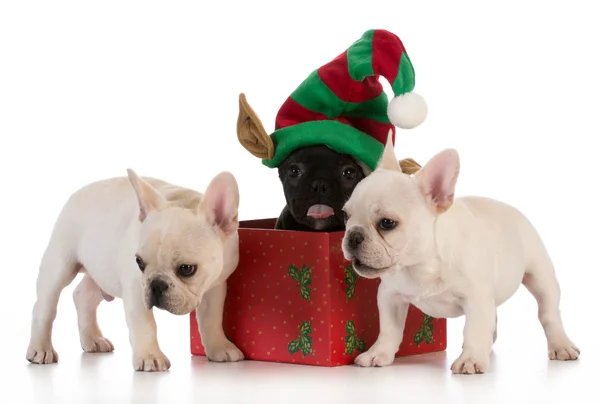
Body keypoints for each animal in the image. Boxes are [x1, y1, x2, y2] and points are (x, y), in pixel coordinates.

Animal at [26, 169, 244, 370]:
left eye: (187, 269)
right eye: (139, 263)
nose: (156, 284)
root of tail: (76, 194)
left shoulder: (215, 286)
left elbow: (211, 318)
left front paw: (219, 348)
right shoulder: (135, 288)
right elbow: (145, 325)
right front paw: (150, 357)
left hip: (103, 270)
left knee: (82, 296)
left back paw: (93, 339)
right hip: (60, 263)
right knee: (45, 307)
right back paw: (40, 349)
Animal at [342, 134, 580, 374]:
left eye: (387, 223)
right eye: (345, 216)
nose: (353, 236)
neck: (420, 265)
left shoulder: (476, 298)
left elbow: (474, 328)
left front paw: (471, 359)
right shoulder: (389, 296)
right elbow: (389, 329)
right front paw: (378, 353)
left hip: (541, 277)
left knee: (548, 313)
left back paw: (561, 345)